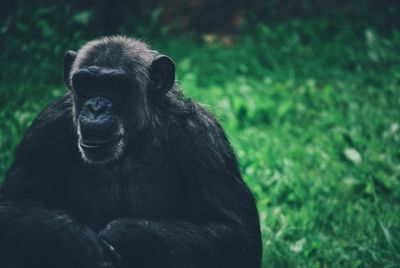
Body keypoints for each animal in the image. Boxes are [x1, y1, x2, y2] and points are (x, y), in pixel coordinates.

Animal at [0, 36, 262, 268]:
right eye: (86, 84)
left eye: (114, 87)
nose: (96, 107)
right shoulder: (44, 130)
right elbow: (11, 206)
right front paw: (79, 240)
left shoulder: (204, 139)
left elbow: (235, 232)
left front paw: (122, 234)